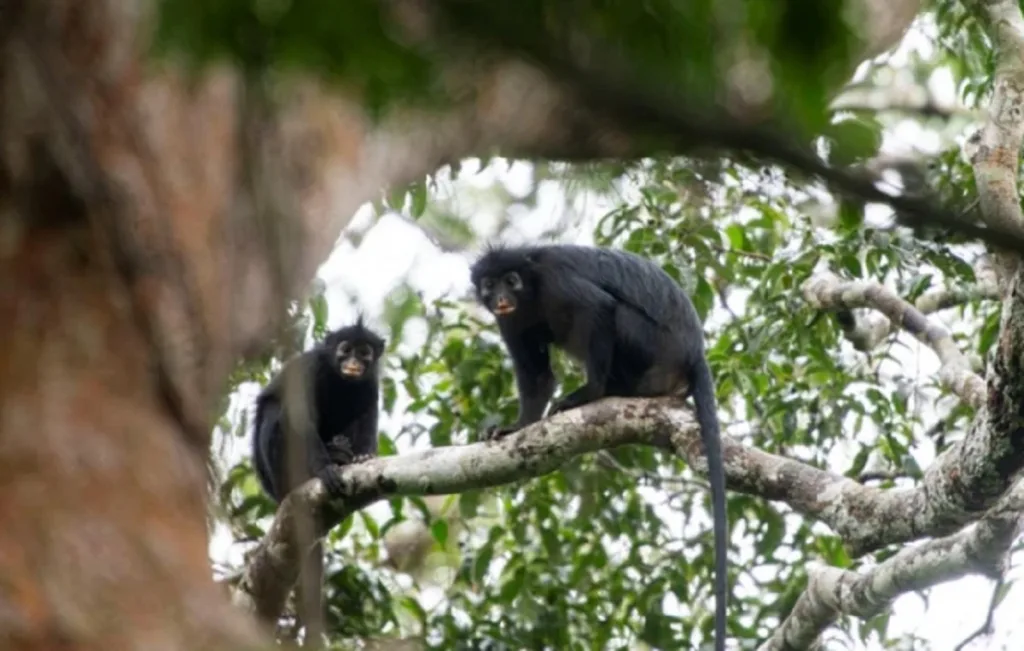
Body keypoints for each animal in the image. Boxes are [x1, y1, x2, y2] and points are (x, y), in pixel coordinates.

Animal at [251, 317, 385, 647]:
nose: (353, 363)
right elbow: (299, 417)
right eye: (345, 349)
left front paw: (363, 456)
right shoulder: (311, 369)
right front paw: (325, 470)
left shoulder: (370, 382)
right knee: (276, 410)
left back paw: (342, 454)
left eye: (364, 353)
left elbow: (368, 411)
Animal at [469, 244, 728, 651]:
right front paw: (517, 426)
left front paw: (589, 393)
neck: (532, 292)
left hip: (652, 347)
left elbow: (600, 309)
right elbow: (537, 376)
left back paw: (608, 390)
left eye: (511, 280)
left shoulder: (557, 279)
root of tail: (693, 352)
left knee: (615, 313)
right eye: (489, 285)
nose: (501, 297)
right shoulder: (509, 321)